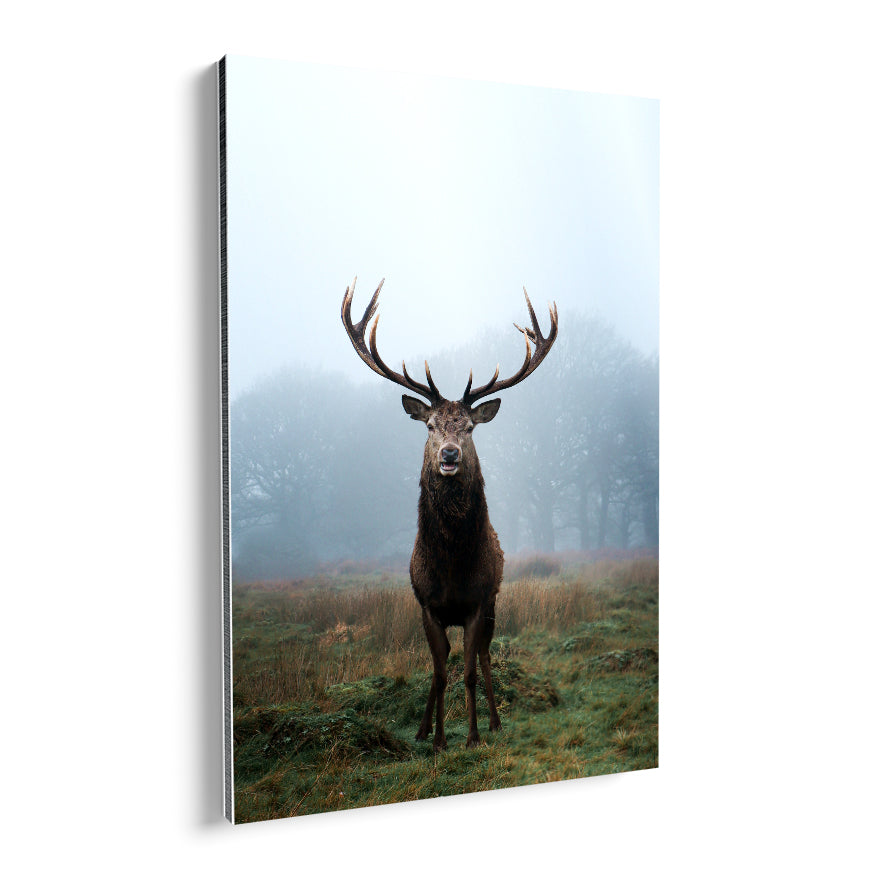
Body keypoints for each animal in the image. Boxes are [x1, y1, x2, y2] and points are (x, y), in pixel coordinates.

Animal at [341, 278, 558, 750]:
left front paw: (474, 735)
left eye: (470, 428)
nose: (450, 455)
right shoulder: (427, 606)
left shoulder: (478, 602)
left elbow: (471, 672)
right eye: (429, 426)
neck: (453, 566)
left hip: (495, 604)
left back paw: (494, 722)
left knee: (486, 656)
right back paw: (423, 729)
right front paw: (439, 739)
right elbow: (440, 674)